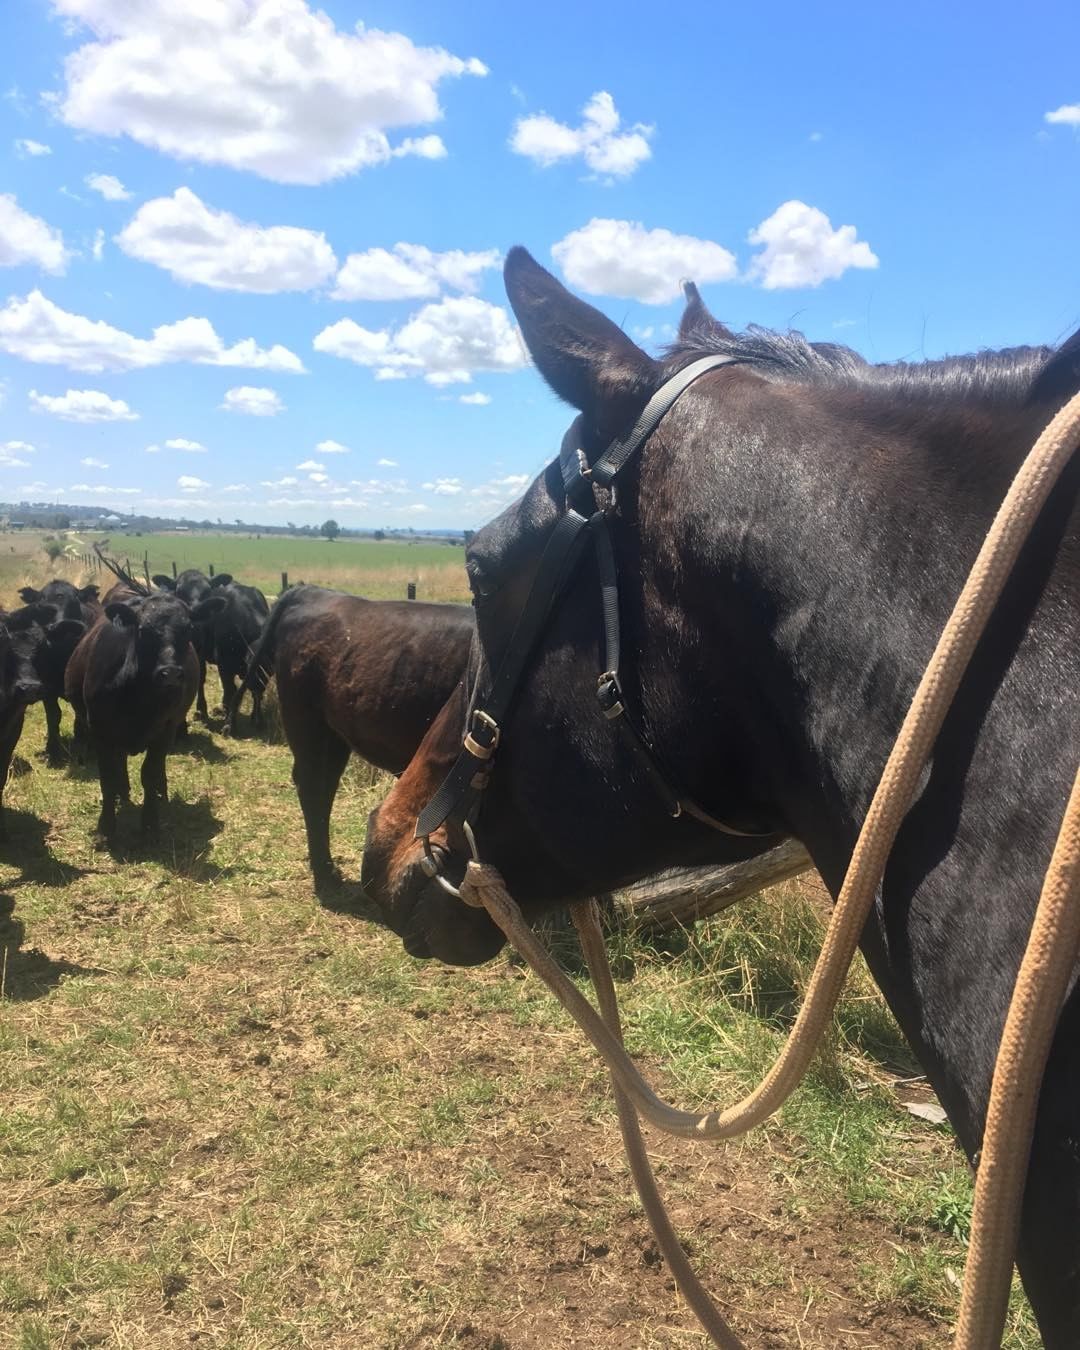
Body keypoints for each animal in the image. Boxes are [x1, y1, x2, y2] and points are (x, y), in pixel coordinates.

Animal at [17, 580, 101, 763]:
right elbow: (54, 716)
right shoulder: (47, 688)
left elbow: (83, 717)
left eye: (75, 601)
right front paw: (52, 751)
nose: (62, 627)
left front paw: (86, 749)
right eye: (40, 605)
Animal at [65, 591, 226, 843]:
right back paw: (123, 792)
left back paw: (161, 791)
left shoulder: (165, 730)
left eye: (188, 629)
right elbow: (108, 778)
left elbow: (149, 774)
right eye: (142, 630)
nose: (170, 674)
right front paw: (105, 828)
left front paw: (150, 824)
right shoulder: (100, 731)